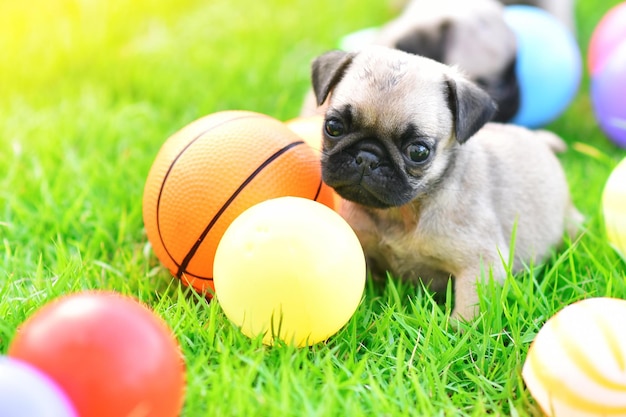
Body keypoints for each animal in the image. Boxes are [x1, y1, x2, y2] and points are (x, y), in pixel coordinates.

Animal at [310, 45, 580, 318]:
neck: (401, 214)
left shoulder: (479, 265)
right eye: (333, 127)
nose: (367, 157)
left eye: (418, 152)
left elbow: (469, 313)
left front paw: (459, 327)